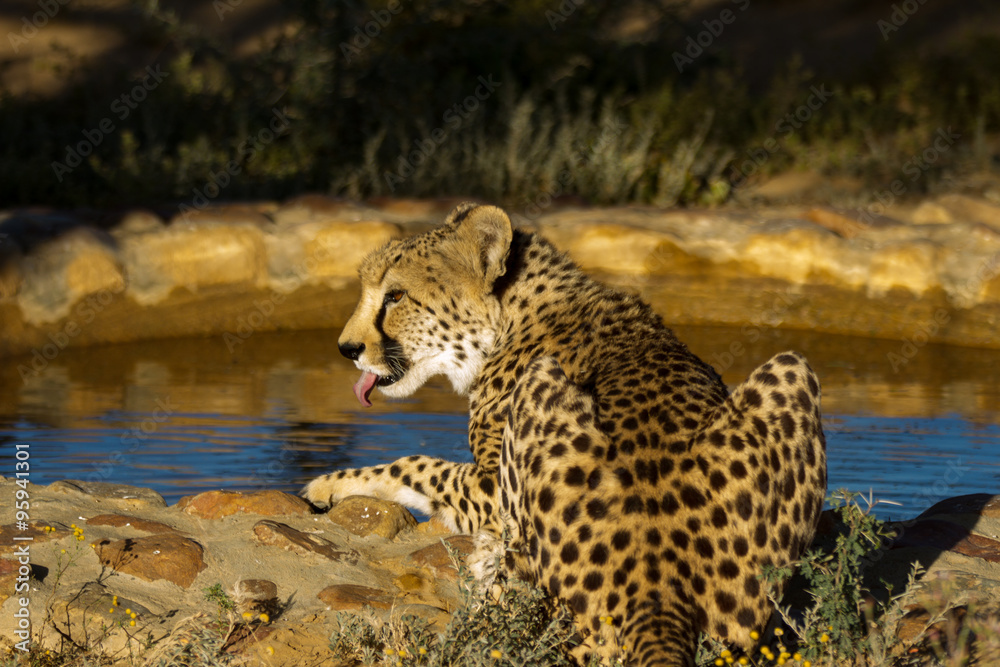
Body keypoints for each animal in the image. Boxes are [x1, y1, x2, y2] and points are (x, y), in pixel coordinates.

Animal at [303, 202, 827, 667]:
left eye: (395, 296)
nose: (347, 348)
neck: (509, 319)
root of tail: (660, 593)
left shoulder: (491, 488)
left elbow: (414, 464)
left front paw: (329, 484)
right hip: (793, 369)